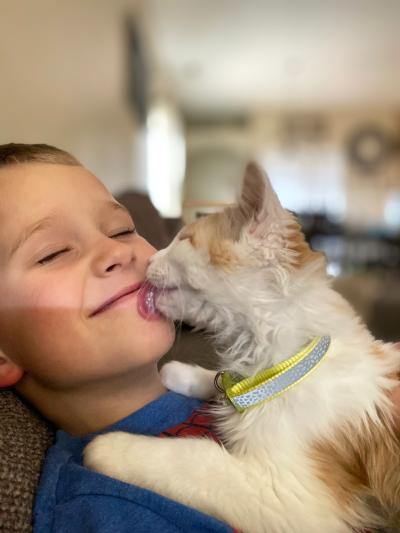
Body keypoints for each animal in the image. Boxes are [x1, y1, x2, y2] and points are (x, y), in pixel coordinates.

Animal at [84, 162, 400, 532]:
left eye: (183, 238)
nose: (148, 259)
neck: (288, 359)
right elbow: (221, 380)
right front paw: (178, 373)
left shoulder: (289, 497)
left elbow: (192, 458)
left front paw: (109, 446)